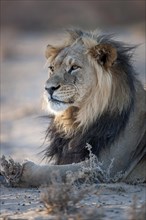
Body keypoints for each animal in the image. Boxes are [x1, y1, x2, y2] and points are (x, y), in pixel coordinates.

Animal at [0, 28, 145, 187]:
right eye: (52, 68)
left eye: (74, 67)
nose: (48, 88)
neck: (78, 117)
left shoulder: (106, 167)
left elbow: (54, 171)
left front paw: (15, 171)